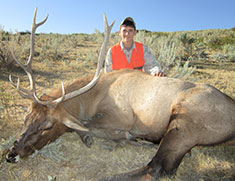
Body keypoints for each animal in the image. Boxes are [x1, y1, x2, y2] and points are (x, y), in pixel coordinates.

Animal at [5, 8, 235, 181]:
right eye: (26, 119)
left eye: (47, 126)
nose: (10, 154)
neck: (92, 98)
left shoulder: (119, 118)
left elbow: (91, 129)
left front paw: (114, 138)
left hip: (184, 122)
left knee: (157, 168)